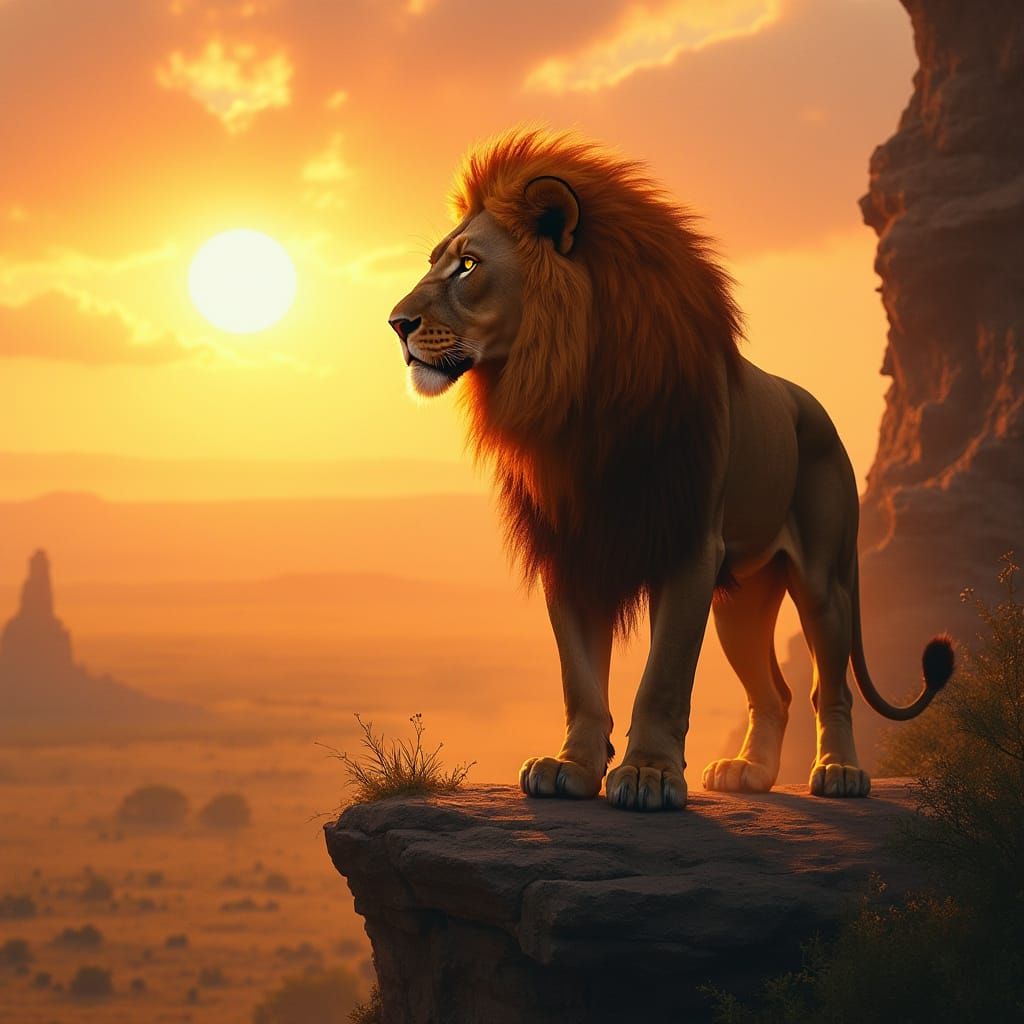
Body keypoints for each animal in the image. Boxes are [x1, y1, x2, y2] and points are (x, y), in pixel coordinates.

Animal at [387, 128, 953, 810]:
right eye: (433, 263)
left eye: (468, 266)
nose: (395, 324)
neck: (574, 394)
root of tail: (814, 407)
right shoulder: (572, 547)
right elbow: (579, 676)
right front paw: (571, 767)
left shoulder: (686, 544)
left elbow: (663, 676)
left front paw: (650, 775)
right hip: (743, 599)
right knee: (775, 691)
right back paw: (749, 772)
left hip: (824, 579)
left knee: (830, 687)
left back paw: (840, 772)